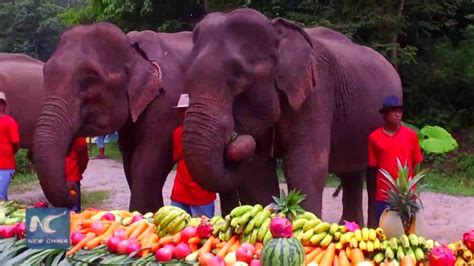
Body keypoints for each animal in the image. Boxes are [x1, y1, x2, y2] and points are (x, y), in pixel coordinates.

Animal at [32, 22, 194, 213]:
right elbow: (129, 161)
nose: (72, 189)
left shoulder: (167, 102)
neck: (134, 49)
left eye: (89, 79)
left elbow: (146, 164)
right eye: (45, 73)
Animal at [181, 7, 400, 227]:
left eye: (239, 75)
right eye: (186, 77)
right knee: (351, 174)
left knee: (375, 176)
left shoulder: (317, 93)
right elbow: (258, 173)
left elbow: (304, 166)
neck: (277, 29)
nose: (235, 139)